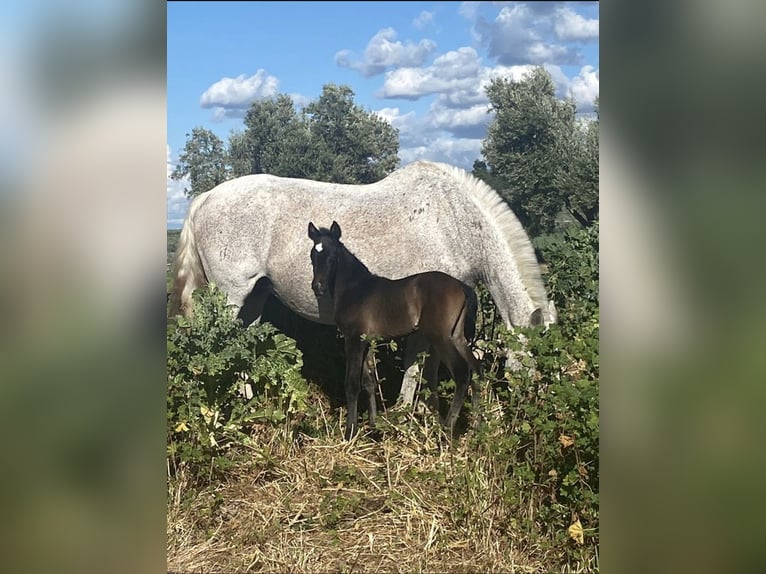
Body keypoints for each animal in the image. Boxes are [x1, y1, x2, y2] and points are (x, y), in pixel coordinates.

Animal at [168, 160, 556, 408]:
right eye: (537, 356)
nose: (535, 403)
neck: (454, 222)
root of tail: (205, 199)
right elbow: (417, 364)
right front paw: (405, 410)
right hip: (230, 295)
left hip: (255, 296)